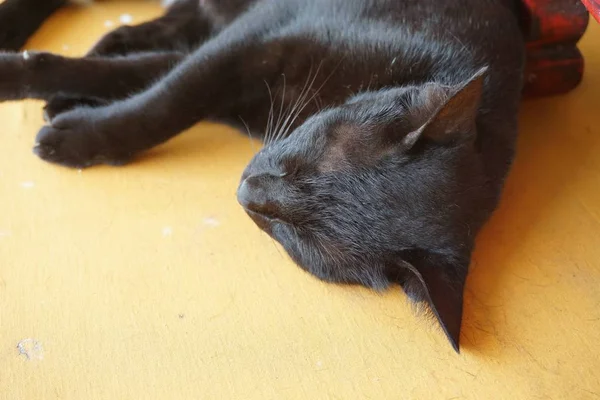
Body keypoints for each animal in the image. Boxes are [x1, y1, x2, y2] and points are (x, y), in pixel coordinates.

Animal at [0, 0, 524, 350]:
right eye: (307, 159)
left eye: (295, 235)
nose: (245, 191)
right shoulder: (258, 37)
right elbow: (166, 101)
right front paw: (65, 123)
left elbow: (149, 79)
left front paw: (75, 116)